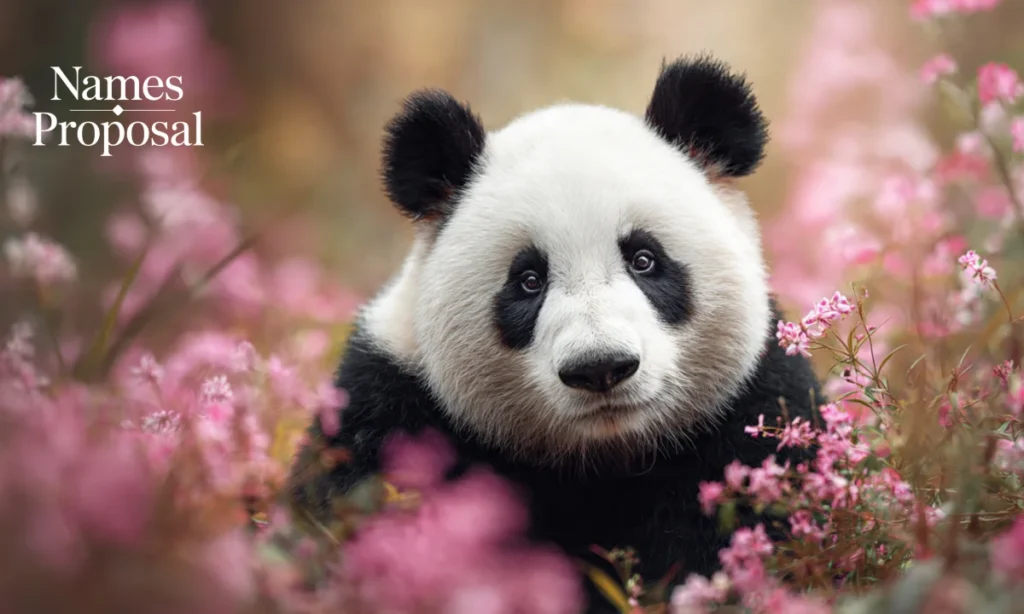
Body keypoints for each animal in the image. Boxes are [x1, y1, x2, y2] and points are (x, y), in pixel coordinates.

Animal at [289, 54, 822, 613]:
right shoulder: (391, 406)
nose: (600, 367)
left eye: (644, 259)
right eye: (529, 280)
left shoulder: (750, 410)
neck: (602, 460)